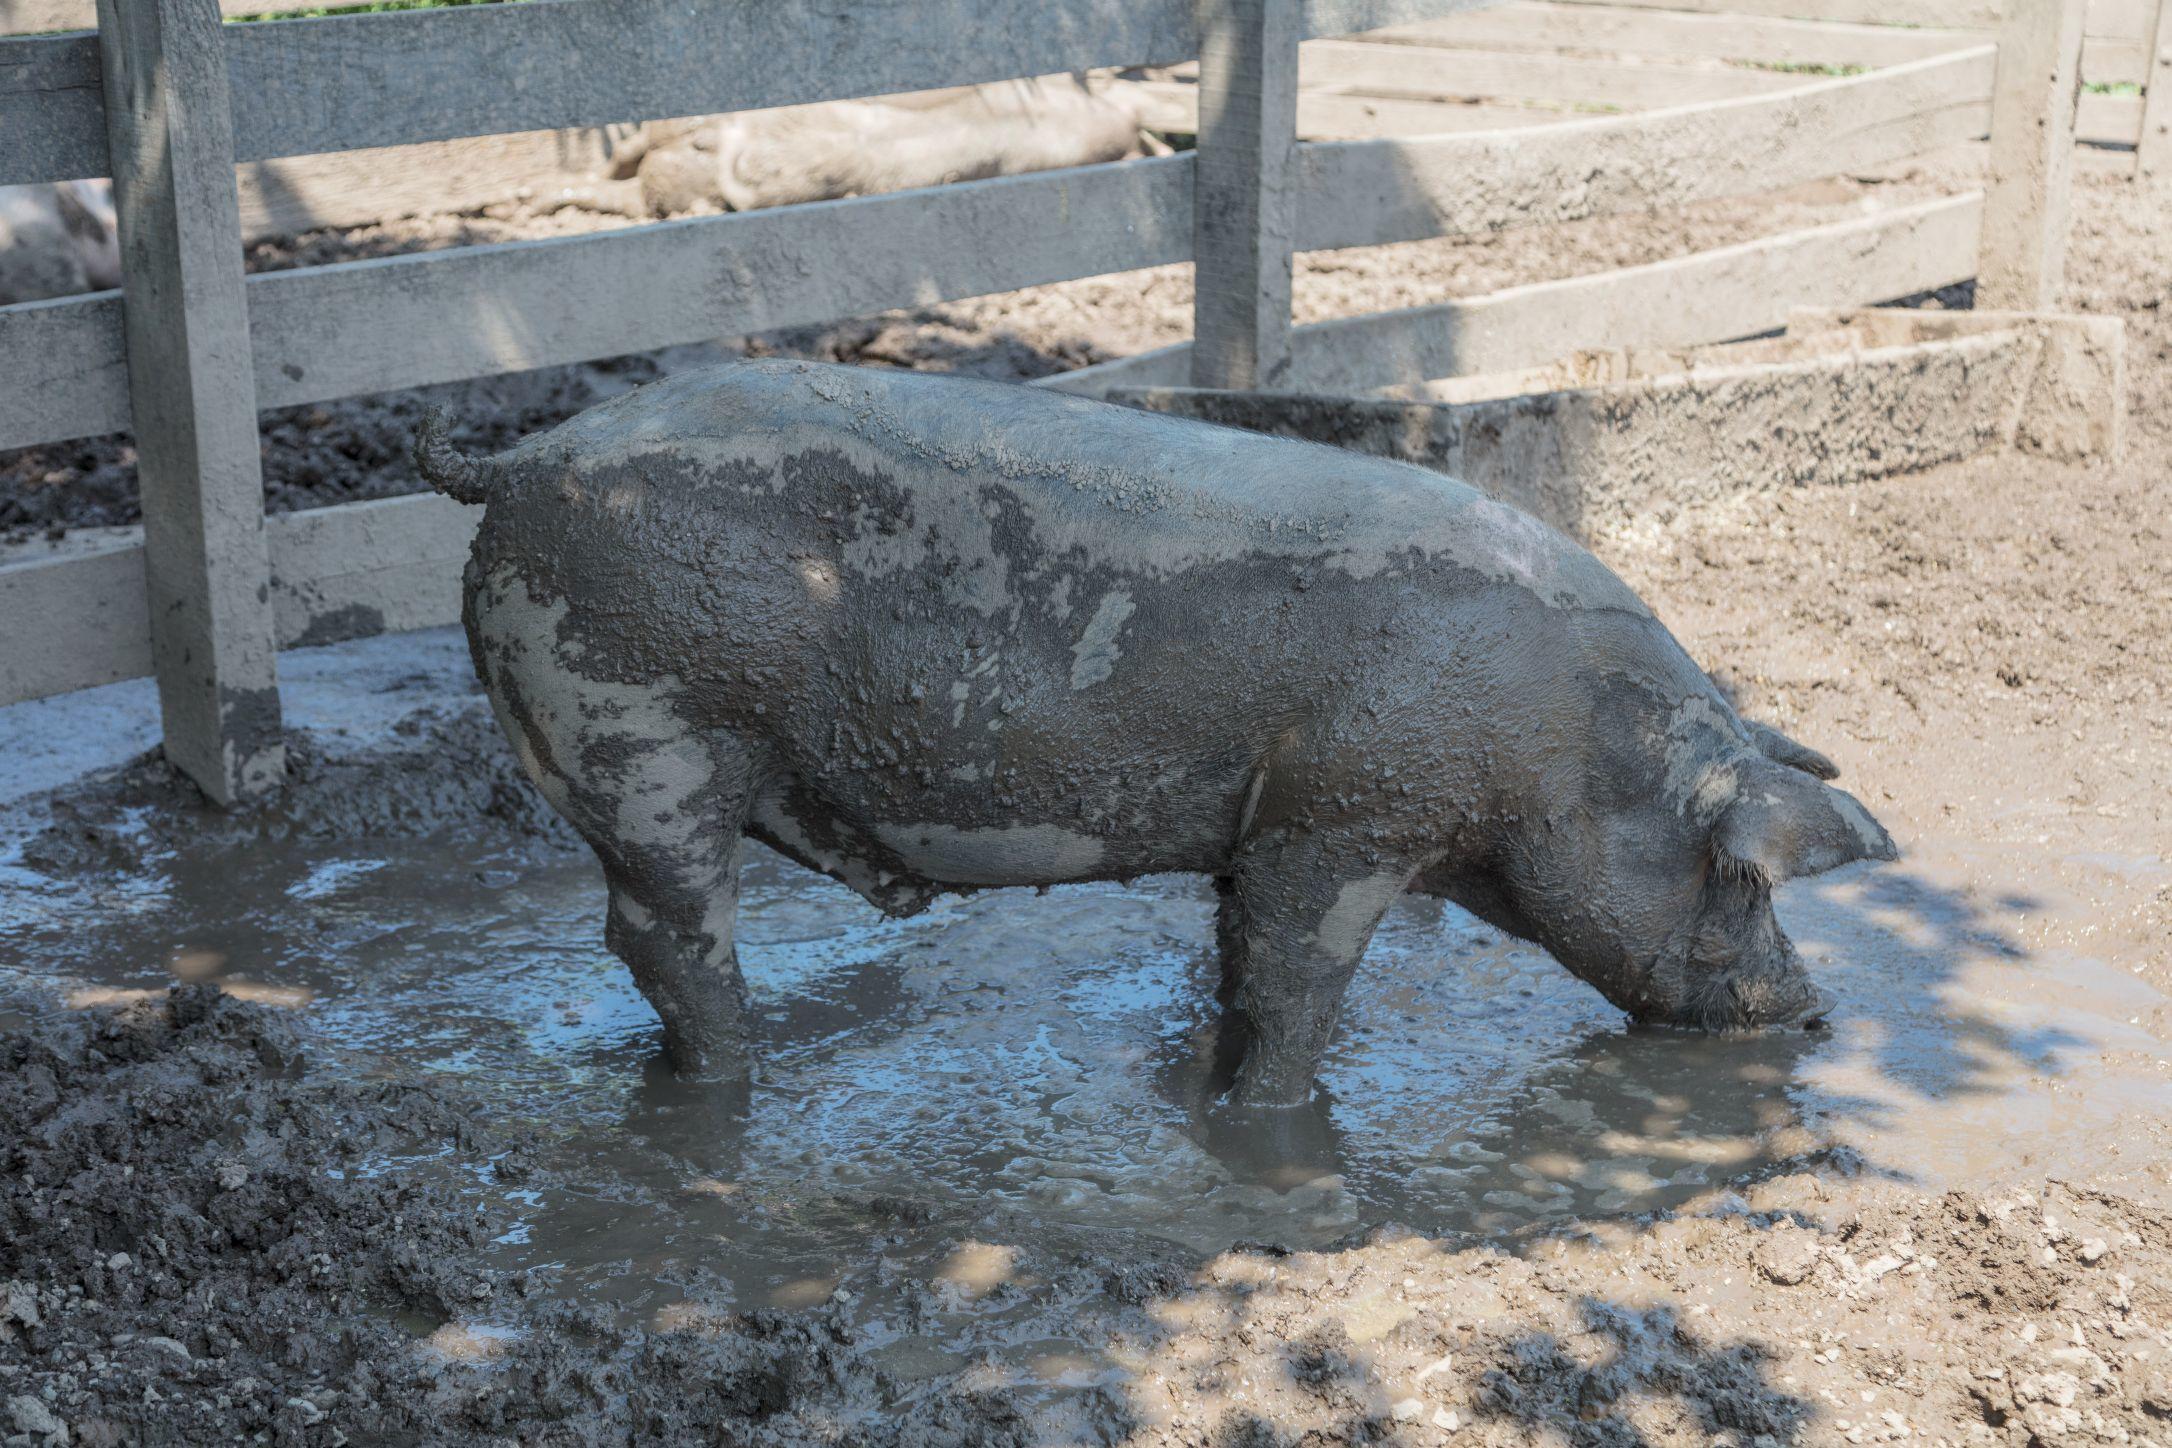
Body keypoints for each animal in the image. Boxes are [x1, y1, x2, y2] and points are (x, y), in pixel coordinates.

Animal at [414, 361, 1896, 1106]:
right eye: (1742, 880)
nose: (1813, 1009)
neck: (1567, 750)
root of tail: (524, 457)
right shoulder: (1346, 816)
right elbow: (1302, 979)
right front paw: (1267, 1118)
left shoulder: (1264, 823)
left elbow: (1239, 964)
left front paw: (1210, 1087)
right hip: (637, 725)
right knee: (665, 930)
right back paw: (732, 1079)